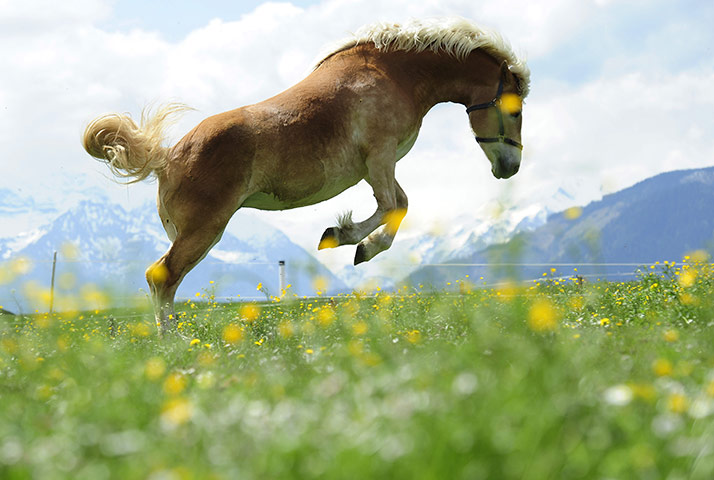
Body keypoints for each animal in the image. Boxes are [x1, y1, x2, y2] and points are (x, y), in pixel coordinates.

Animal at [82, 17, 530, 334]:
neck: (394, 75)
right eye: (515, 111)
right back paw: (172, 345)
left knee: (167, 281)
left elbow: (397, 206)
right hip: (203, 231)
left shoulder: (378, 167)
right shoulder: (380, 159)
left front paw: (352, 242)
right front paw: (349, 240)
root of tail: (168, 156)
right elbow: (393, 206)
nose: (510, 168)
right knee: (161, 276)